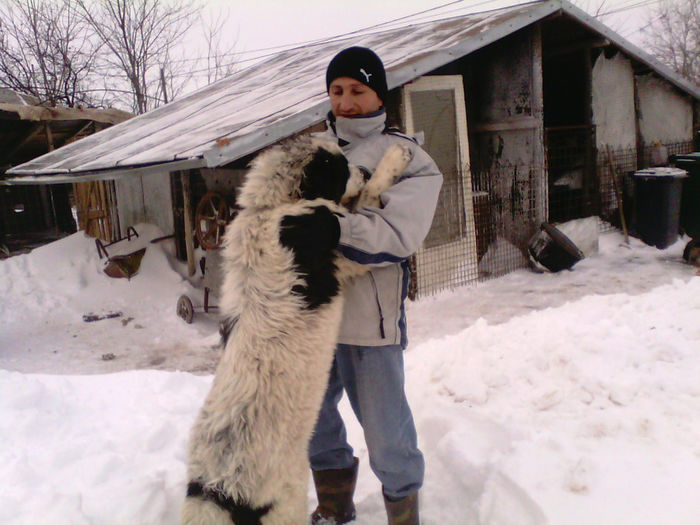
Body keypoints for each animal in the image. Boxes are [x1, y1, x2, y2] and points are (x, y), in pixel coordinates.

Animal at [180, 136, 412, 524]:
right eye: (340, 167)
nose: (362, 170)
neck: (271, 207)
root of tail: (220, 491)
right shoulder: (338, 248)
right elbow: (366, 199)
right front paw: (395, 158)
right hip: (286, 501)